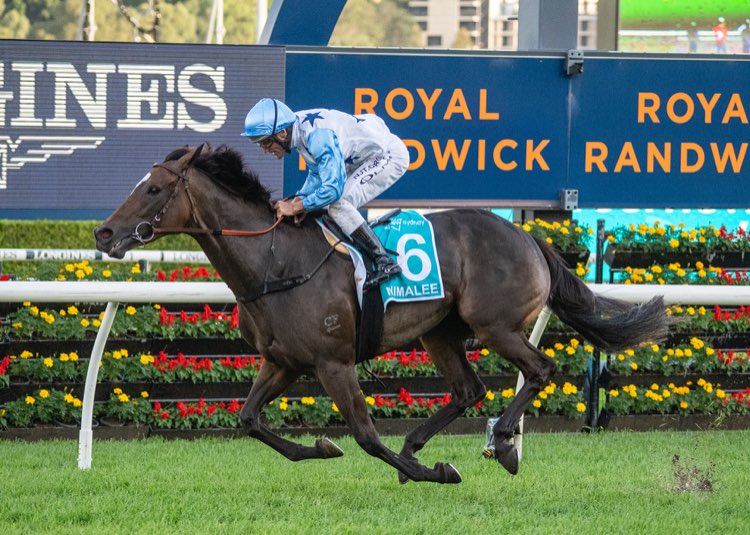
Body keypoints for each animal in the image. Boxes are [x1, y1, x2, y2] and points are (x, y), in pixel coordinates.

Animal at [94, 144, 669, 484]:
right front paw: (323, 448)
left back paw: (501, 442)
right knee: (468, 390)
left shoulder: (332, 363)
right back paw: (420, 445)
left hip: (496, 326)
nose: (103, 232)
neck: (276, 262)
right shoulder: (283, 362)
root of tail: (527, 234)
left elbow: (368, 438)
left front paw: (435, 472)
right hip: (441, 333)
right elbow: (249, 419)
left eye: (153, 188)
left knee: (540, 369)